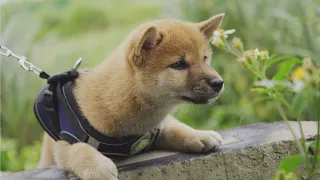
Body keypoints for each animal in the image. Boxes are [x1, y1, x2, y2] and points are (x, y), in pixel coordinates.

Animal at [38, 13, 225, 180]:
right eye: (179, 64)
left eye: (205, 58)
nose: (219, 83)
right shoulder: (64, 143)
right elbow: (80, 150)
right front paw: (97, 168)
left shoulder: (152, 130)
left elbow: (173, 127)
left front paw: (199, 135)